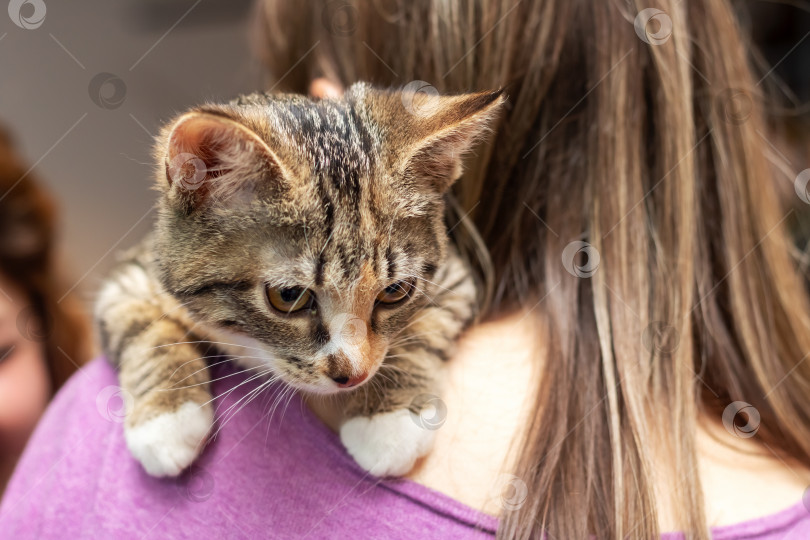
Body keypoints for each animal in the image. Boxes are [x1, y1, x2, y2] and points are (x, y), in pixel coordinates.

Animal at [93, 83, 498, 476]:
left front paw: (388, 419)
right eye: (288, 296)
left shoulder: (456, 273)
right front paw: (166, 419)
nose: (353, 375)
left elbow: (421, 327)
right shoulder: (134, 274)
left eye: (396, 291)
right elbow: (141, 325)